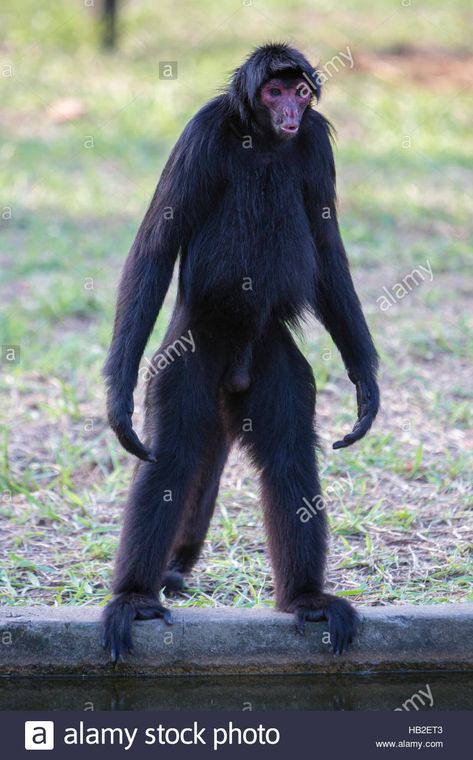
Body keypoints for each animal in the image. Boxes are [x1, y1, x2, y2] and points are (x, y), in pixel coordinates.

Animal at [101, 43, 378, 660]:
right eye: (274, 92)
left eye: (299, 93)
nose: (291, 113)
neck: (265, 141)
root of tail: (240, 356)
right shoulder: (203, 132)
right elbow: (156, 246)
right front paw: (117, 397)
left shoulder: (316, 141)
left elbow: (326, 248)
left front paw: (366, 387)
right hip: (192, 346)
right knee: (175, 456)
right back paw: (135, 598)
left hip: (276, 357)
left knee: (288, 459)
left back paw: (305, 600)